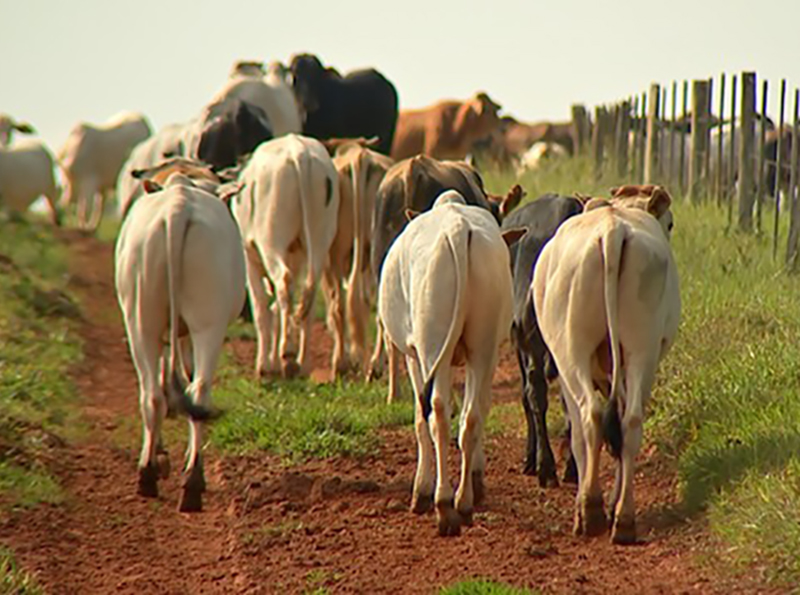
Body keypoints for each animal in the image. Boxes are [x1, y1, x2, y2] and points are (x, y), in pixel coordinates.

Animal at [378, 193, 520, 536]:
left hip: (431, 347)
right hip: (482, 346)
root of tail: (457, 229)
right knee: (471, 416)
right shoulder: (486, 357)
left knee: (437, 412)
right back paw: (464, 503)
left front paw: (421, 490)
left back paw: (443, 505)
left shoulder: (414, 356)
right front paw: (478, 480)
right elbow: (479, 408)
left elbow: (420, 418)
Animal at [532, 185, 680, 544]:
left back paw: (591, 510)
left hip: (572, 351)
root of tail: (613, 231)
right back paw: (623, 517)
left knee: (591, 416)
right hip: (642, 351)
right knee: (630, 421)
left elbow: (577, 436)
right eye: (669, 223)